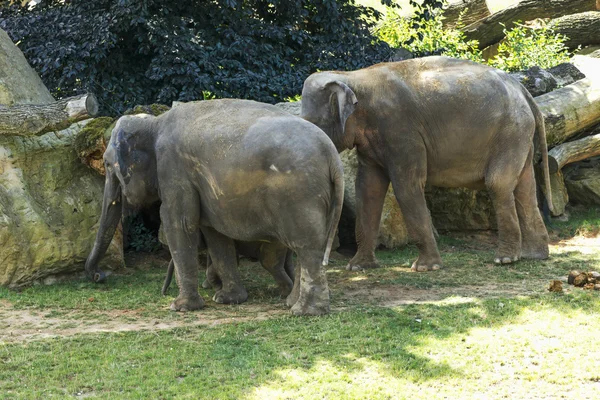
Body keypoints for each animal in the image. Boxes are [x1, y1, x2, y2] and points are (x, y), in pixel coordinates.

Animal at [161, 239, 294, 298]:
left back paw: (284, 294)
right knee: (287, 264)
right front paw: (214, 287)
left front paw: (217, 288)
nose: (164, 293)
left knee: (270, 264)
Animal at [300, 56, 552, 274]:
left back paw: (506, 259)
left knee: (498, 184)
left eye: (313, 123)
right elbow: (368, 189)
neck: (352, 77)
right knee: (525, 187)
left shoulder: (401, 130)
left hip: (510, 132)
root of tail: (522, 89)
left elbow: (407, 186)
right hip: (519, 134)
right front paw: (357, 267)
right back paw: (534, 255)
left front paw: (425, 268)